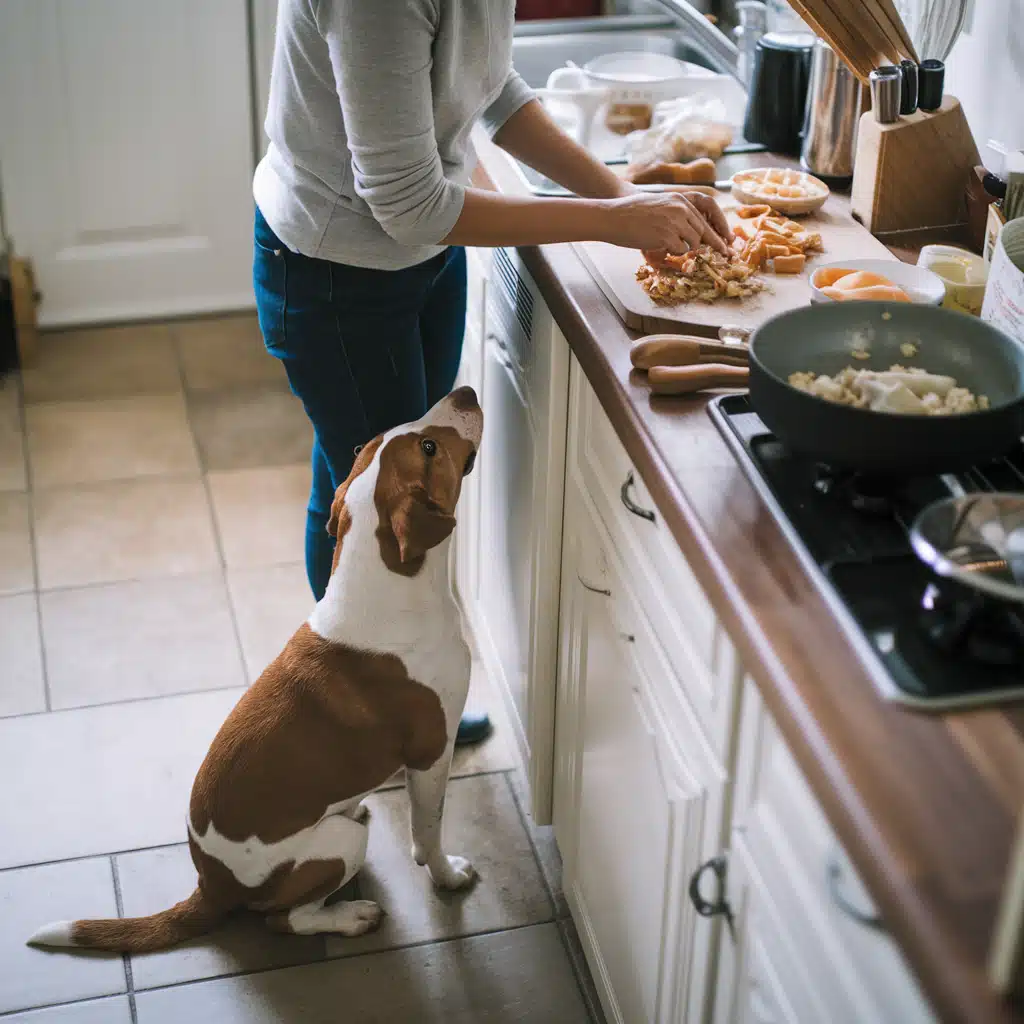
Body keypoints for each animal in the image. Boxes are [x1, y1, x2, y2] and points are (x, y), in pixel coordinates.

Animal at [27, 385, 483, 950]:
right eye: (428, 448)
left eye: (377, 438)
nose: (466, 391)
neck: (384, 580)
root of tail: (211, 887)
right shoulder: (431, 754)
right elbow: (429, 833)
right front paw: (448, 875)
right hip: (338, 843)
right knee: (285, 918)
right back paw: (350, 916)